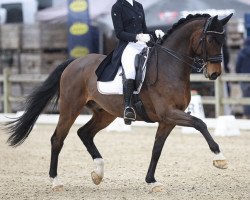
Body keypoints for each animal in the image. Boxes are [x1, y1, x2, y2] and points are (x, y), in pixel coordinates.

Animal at [5, 13, 232, 191]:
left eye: (223, 41)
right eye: (210, 40)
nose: (214, 74)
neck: (170, 66)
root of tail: (75, 62)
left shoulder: (167, 120)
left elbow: (157, 149)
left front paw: (151, 181)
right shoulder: (169, 113)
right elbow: (200, 123)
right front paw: (220, 158)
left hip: (105, 113)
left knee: (84, 133)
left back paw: (98, 173)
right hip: (70, 108)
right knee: (57, 139)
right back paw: (55, 181)